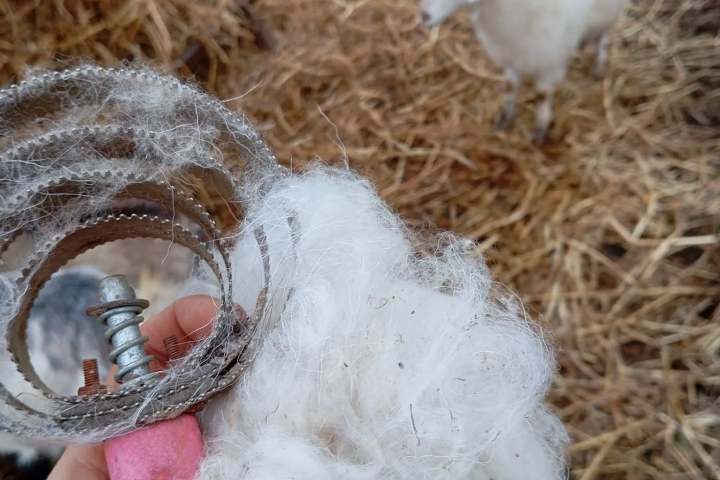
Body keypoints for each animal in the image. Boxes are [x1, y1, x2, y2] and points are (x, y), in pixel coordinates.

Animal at [420, 0, 626, 141]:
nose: (424, 16)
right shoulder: (512, 55)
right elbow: (510, 86)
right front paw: (504, 119)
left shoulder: (550, 58)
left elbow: (542, 95)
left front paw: (540, 129)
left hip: (606, 12)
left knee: (602, 35)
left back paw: (598, 64)